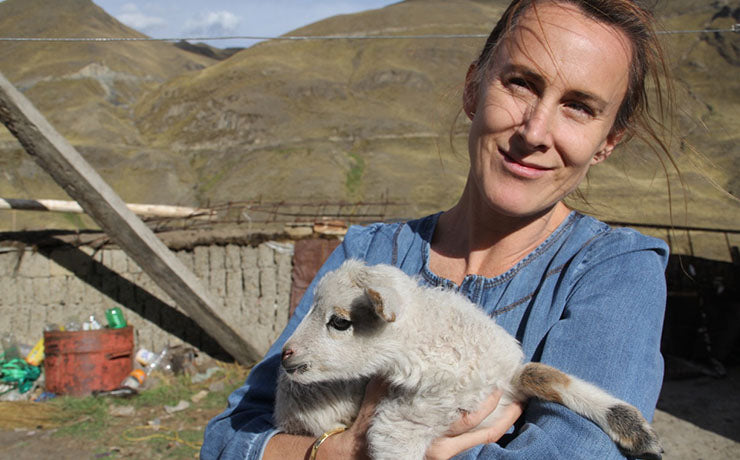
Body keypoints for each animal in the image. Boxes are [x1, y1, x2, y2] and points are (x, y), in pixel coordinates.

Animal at [274, 258, 664, 460]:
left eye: (340, 322)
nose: (285, 355)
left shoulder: (507, 378)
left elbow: (549, 376)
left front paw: (638, 435)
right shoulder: (398, 427)